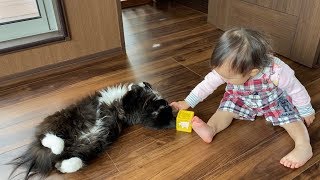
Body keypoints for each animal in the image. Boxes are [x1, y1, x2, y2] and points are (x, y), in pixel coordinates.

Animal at [9, 82, 175, 179]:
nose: (165, 103)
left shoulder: (135, 109)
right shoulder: (133, 105)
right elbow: (135, 91)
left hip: (90, 146)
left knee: (63, 162)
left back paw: (62, 156)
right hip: (64, 121)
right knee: (44, 138)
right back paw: (57, 145)